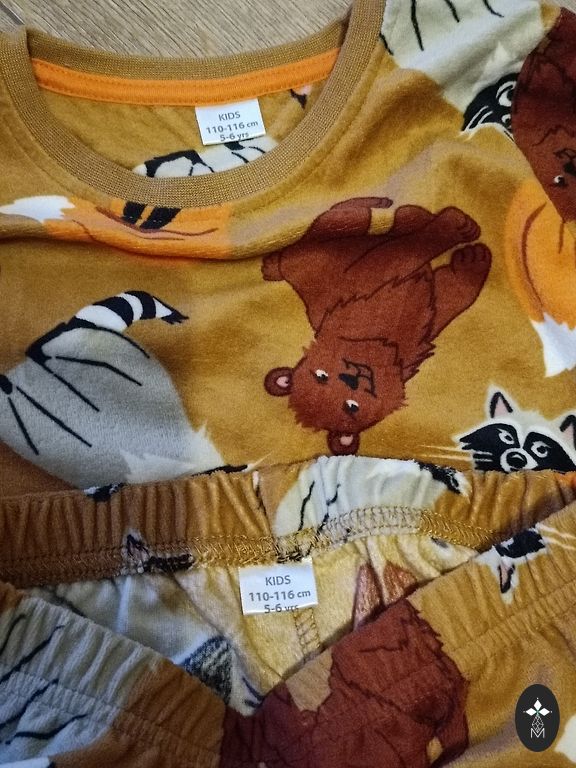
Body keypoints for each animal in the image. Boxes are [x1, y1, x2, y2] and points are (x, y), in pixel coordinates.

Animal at [262, 196, 491, 455]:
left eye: (321, 375)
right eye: (351, 406)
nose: (350, 378)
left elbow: (449, 283)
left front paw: (464, 251)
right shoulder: (390, 271)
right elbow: (419, 253)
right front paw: (458, 233)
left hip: (340, 230)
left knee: (345, 213)